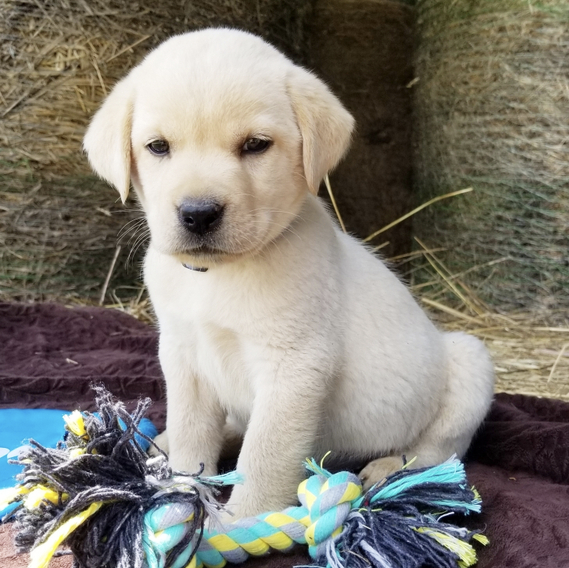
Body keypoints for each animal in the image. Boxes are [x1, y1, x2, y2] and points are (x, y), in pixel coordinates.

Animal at [84, 28, 494, 519]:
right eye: (158, 146)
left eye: (256, 145)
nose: (198, 214)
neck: (216, 276)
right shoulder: (183, 356)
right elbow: (190, 434)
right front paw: (182, 495)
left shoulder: (294, 368)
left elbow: (265, 455)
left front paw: (241, 521)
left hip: (469, 363)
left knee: (438, 452)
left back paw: (389, 468)